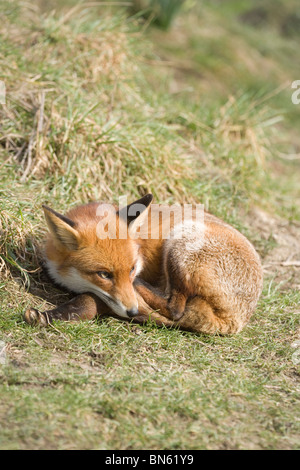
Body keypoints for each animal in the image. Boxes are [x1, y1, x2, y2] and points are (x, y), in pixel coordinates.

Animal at [24, 195, 264, 334]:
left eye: (131, 269)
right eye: (104, 274)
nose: (131, 311)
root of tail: (238, 319)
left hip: (181, 241)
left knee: (175, 309)